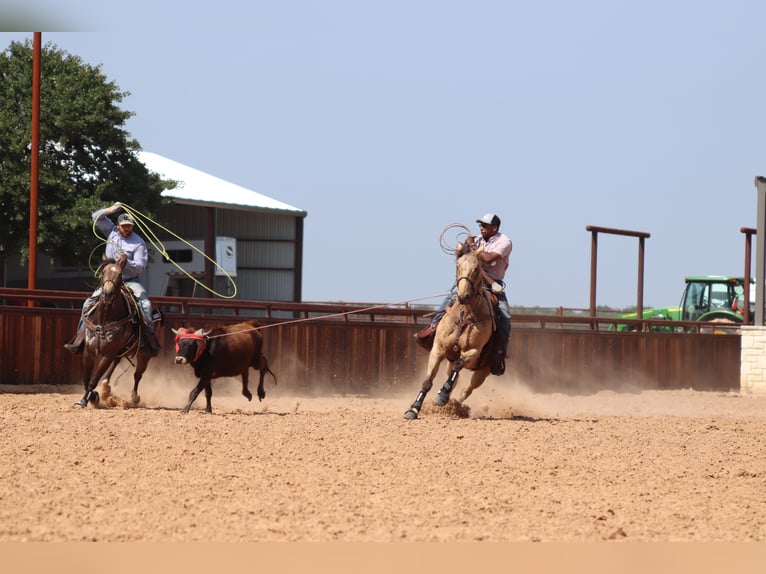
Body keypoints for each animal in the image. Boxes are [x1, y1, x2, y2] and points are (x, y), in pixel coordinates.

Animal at [74, 255, 157, 410]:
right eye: (103, 272)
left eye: (119, 275)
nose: (107, 294)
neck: (105, 319)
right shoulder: (89, 351)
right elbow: (86, 378)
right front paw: (90, 397)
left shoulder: (108, 353)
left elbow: (93, 379)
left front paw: (87, 399)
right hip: (121, 350)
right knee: (116, 363)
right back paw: (106, 388)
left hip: (144, 355)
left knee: (137, 375)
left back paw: (133, 398)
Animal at [408, 245, 498, 420]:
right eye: (457, 266)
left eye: (477, 268)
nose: (464, 296)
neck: (465, 315)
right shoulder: (438, 350)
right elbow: (427, 381)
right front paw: (414, 409)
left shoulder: (474, 351)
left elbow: (459, 364)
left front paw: (442, 396)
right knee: (455, 380)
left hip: (483, 371)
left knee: (467, 388)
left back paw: (454, 403)